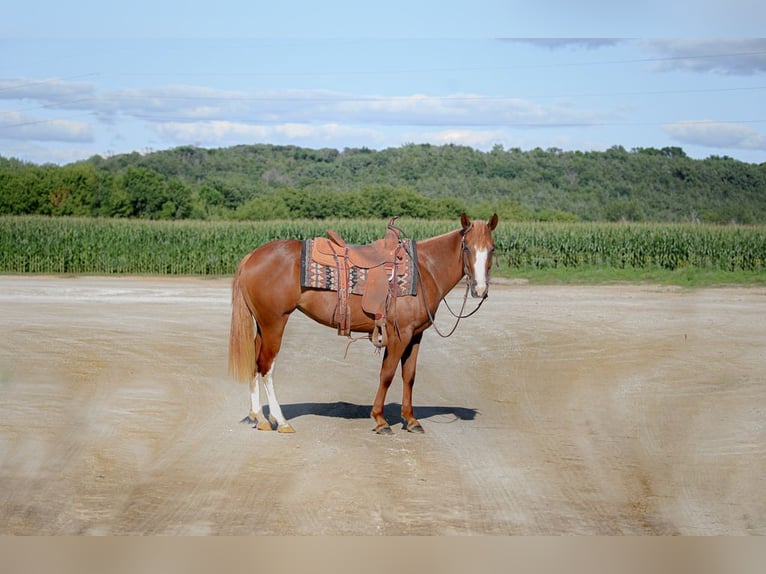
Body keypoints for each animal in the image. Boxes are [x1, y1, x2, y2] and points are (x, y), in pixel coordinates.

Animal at [227, 212, 499, 434]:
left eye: (492, 249)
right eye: (467, 248)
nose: (480, 289)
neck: (425, 270)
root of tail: (252, 256)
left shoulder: (415, 335)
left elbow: (409, 376)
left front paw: (411, 420)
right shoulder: (399, 335)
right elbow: (387, 374)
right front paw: (380, 420)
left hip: (262, 326)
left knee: (255, 364)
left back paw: (260, 418)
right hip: (274, 324)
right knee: (266, 367)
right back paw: (281, 421)